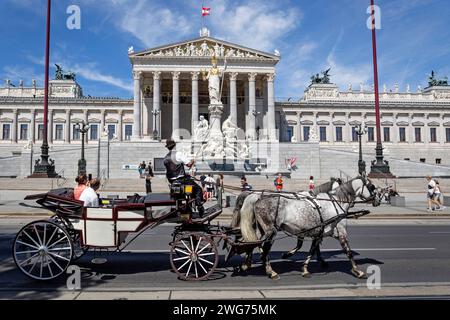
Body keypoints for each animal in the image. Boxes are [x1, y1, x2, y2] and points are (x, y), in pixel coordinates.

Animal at [239, 178, 380, 280]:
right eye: (372, 187)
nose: (378, 200)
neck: (335, 202)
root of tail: (258, 198)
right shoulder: (341, 233)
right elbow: (348, 252)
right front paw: (358, 271)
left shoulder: (317, 233)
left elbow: (311, 250)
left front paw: (306, 269)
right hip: (271, 231)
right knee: (264, 249)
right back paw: (270, 271)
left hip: (262, 230)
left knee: (254, 244)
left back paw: (247, 264)